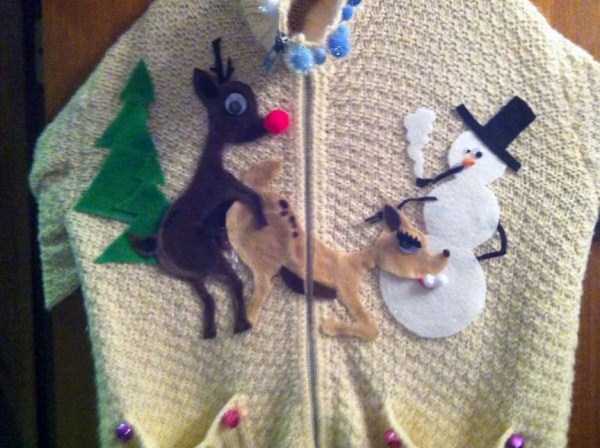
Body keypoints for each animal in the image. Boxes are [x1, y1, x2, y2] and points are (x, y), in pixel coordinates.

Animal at [130, 39, 290, 339]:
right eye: (235, 105)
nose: (265, 126)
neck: (211, 164)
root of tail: (159, 250)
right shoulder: (228, 187)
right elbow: (253, 197)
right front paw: (262, 222)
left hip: (192, 276)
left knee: (208, 298)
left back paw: (211, 331)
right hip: (209, 261)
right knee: (234, 283)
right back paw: (240, 325)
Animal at [226, 160, 451, 340]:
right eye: (411, 244)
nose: (446, 253)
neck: (357, 263)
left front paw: (330, 326)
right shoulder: (347, 289)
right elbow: (371, 329)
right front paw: (330, 326)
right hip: (264, 258)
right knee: (262, 282)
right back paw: (247, 319)